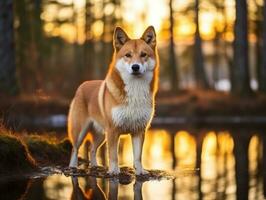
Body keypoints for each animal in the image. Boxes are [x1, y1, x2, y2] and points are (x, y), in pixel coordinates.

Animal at [68, 26, 159, 175]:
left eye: (143, 54)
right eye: (128, 55)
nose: (135, 67)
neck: (135, 90)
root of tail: (83, 85)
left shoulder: (139, 130)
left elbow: (138, 156)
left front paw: (140, 171)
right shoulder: (113, 130)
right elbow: (113, 155)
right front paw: (114, 172)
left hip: (101, 133)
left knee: (92, 148)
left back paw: (95, 166)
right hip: (81, 131)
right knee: (75, 148)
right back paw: (72, 167)